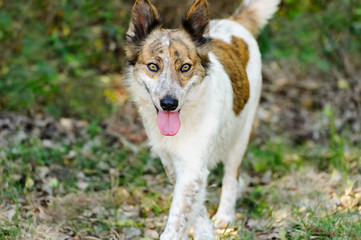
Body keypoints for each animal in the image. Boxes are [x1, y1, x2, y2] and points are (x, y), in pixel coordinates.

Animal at [125, 0, 280, 238]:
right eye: (153, 66)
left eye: (185, 67)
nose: (168, 104)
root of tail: (233, 22)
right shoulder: (172, 163)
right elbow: (193, 207)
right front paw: (204, 231)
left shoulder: (193, 167)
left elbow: (177, 219)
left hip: (241, 136)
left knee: (231, 176)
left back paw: (225, 215)